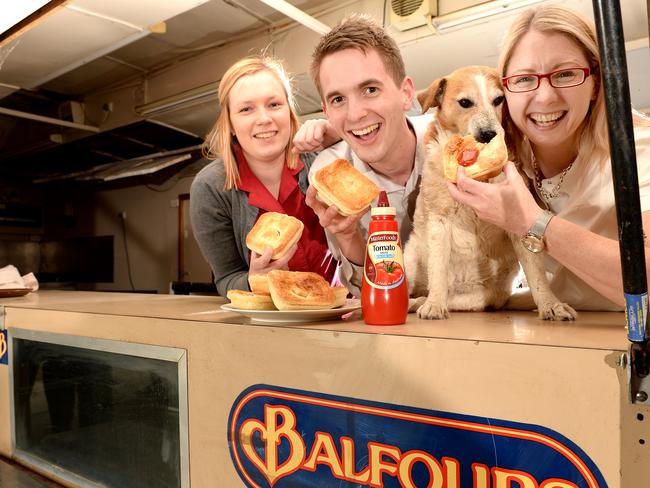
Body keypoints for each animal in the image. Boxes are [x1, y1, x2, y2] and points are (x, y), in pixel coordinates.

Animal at [402, 66, 576, 322]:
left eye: (499, 100)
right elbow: (438, 270)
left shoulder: (518, 224)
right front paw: (434, 304)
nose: (488, 134)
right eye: (465, 102)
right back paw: (417, 301)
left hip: (484, 296)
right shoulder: (438, 222)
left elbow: (537, 276)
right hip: (410, 259)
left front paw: (550, 305)